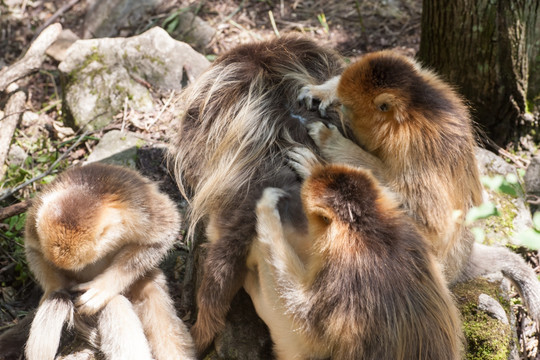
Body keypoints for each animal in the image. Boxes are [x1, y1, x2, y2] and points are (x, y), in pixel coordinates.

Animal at [23, 163, 197, 360]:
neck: (90, 190)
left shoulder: (139, 208)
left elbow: (164, 234)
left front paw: (102, 288)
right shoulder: (35, 218)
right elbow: (34, 250)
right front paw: (55, 288)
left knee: (148, 288)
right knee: (115, 303)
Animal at [247, 148, 462, 358]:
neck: (369, 233)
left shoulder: (342, 272)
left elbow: (301, 321)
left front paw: (266, 211)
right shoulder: (408, 229)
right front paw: (312, 165)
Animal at [300, 50, 540, 320]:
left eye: (349, 108)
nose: (341, 110)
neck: (415, 109)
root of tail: (463, 259)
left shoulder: (413, 145)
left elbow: (432, 227)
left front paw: (327, 152)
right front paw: (324, 91)